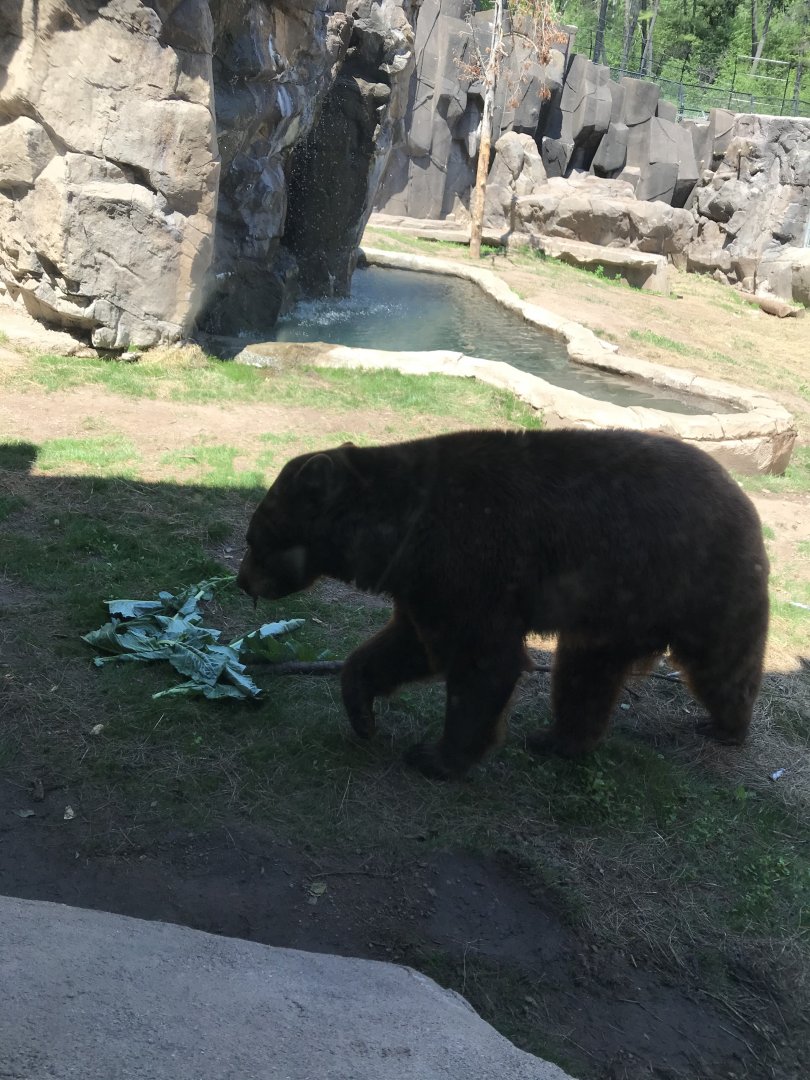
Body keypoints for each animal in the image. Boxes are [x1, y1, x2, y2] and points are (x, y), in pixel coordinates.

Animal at [237, 428, 769, 780]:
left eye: (253, 537)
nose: (241, 582)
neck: (401, 532)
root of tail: (739, 491)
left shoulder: (473, 560)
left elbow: (481, 663)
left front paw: (436, 756)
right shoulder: (425, 587)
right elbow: (407, 647)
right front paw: (362, 713)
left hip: (695, 578)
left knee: (721, 662)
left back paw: (727, 725)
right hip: (614, 608)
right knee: (586, 673)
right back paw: (559, 739)